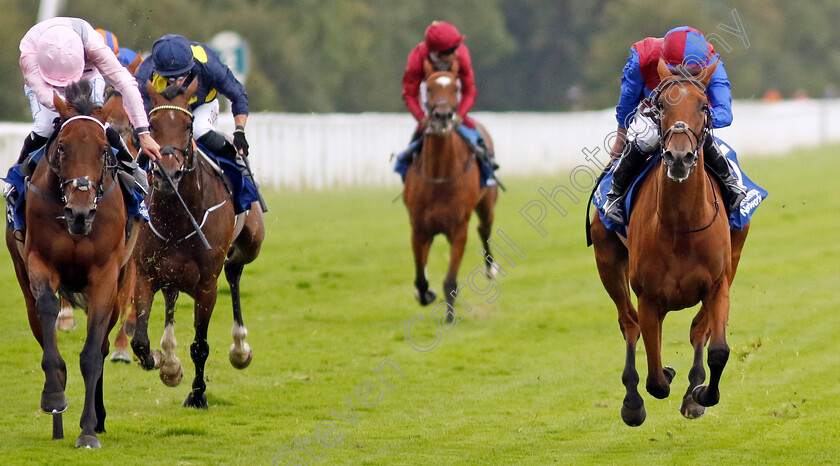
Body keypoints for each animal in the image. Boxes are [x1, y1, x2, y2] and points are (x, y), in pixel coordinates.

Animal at [5, 80, 138, 448]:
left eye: (104, 150)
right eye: (62, 148)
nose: (80, 213)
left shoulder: (106, 276)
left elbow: (92, 355)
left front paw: (89, 430)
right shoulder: (39, 262)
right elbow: (49, 309)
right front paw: (53, 396)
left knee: (103, 346)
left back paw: (99, 418)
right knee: (41, 323)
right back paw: (58, 421)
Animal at [131, 81, 264, 408]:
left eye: (188, 126)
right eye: (151, 124)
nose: (168, 173)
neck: (177, 217)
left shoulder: (206, 284)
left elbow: (200, 345)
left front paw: (197, 394)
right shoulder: (144, 272)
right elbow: (140, 341)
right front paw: (163, 363)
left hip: (251, 243)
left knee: (234, 271)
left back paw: (239, 348)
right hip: (170, 271)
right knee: (170, 296)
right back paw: (169, 360)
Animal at [402, 69, 496, 320]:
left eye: (455, 87)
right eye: (430, 88)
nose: (443, 116)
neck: (439, 176)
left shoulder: (458, 228)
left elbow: (450, 280)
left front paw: (450, 317)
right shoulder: (419, 227)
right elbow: (420, 277)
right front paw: (424, 293)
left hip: (487, 204)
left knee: (484, 229)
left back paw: (491, 268)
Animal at [588, 59, 752, 426]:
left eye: (703, 106)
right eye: (662, 105)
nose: (679, 157)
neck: (681, 227)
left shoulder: (717, 284)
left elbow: (718, 349)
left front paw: (702, 394)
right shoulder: (649, 296)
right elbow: (654, 377)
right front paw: (656, 381)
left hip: (733, 259)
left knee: (697, 330)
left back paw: (692, 391)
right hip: (607, 261)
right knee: (630, 325)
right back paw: (633, 401)